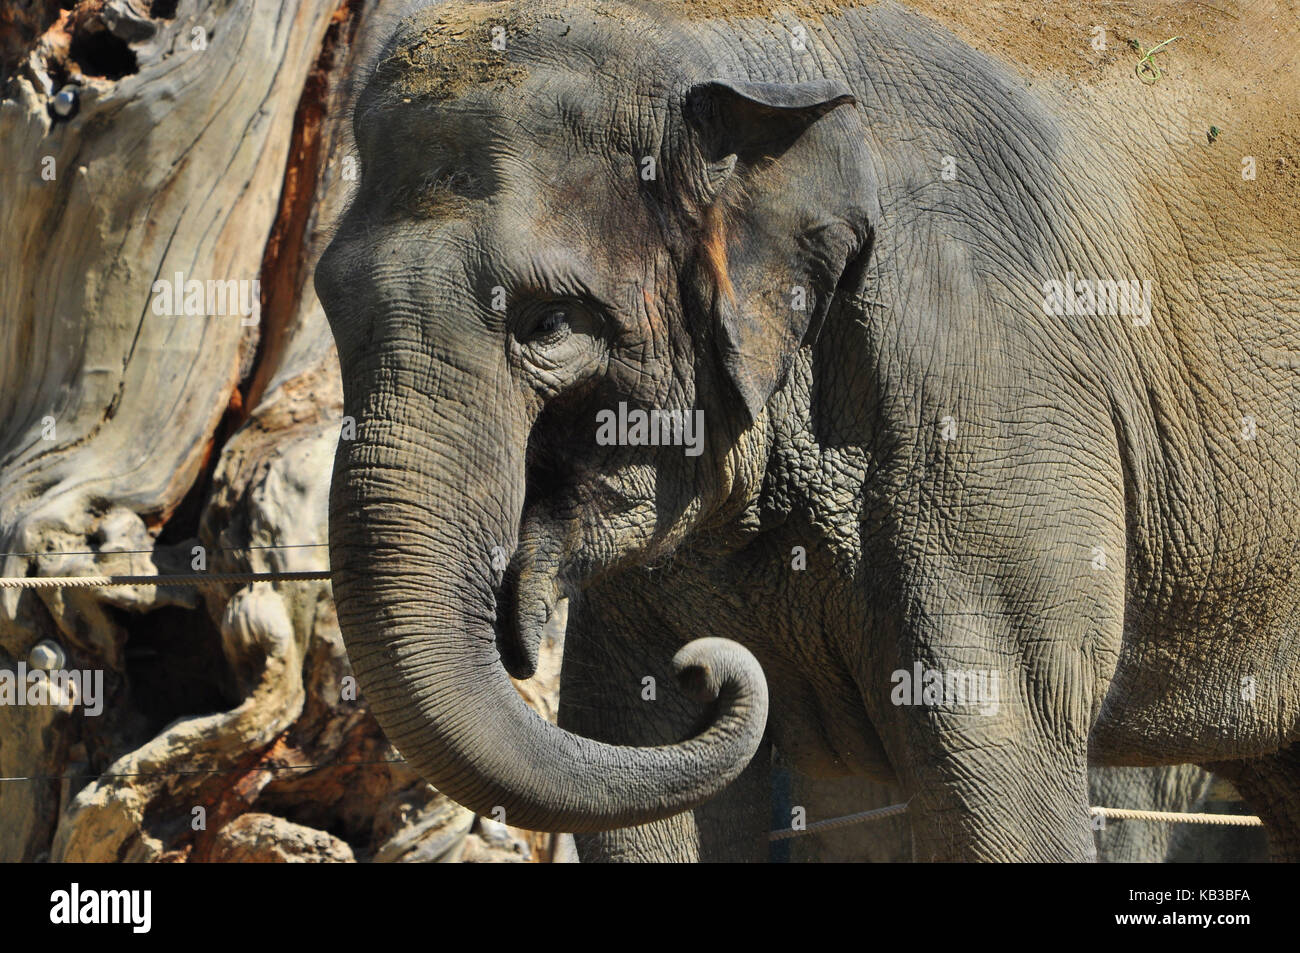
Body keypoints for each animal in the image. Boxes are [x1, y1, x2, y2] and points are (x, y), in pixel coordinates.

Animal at [312, 0, 1300, 863]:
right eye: (328, 298)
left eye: (549, 323)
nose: (709, 668)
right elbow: (630, 742)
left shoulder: (988, 380)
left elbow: (997, 755)